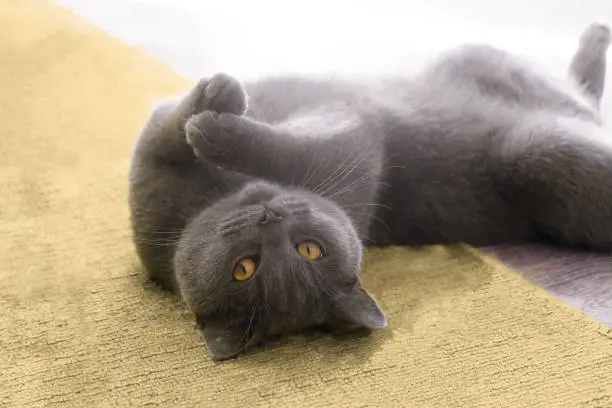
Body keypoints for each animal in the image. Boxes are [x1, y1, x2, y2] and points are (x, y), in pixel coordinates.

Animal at [126, 23, 608, 360]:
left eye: (310, 249)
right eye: (244, 269)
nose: (270, 218)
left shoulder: (347, 139)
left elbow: (279, 147)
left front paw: (216, 111)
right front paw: (214, 109)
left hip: (495, 79)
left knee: (583, 100)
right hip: (536, 136)